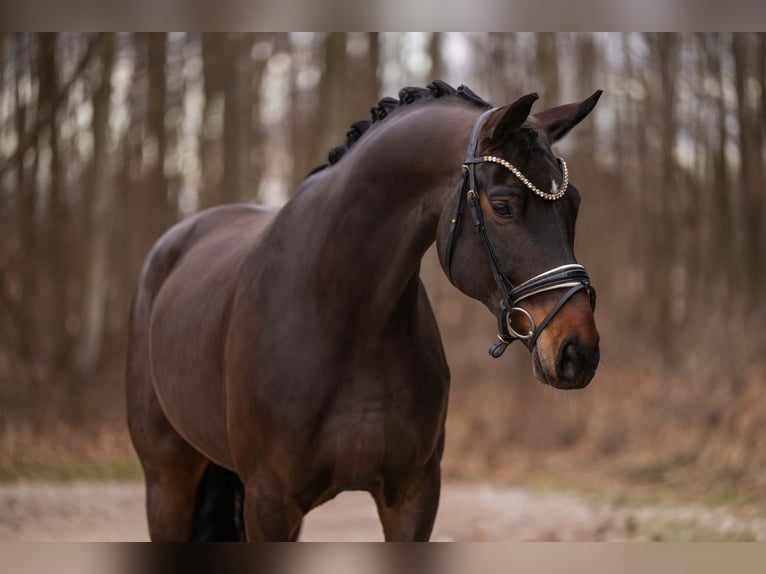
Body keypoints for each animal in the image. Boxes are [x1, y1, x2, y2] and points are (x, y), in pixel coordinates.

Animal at [126, 81, 602, 541]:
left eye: (575, 203)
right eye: (502, 206)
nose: (578, 351)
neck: (345, 319)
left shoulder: (413, 496)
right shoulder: (270, 501)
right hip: (167, 481)